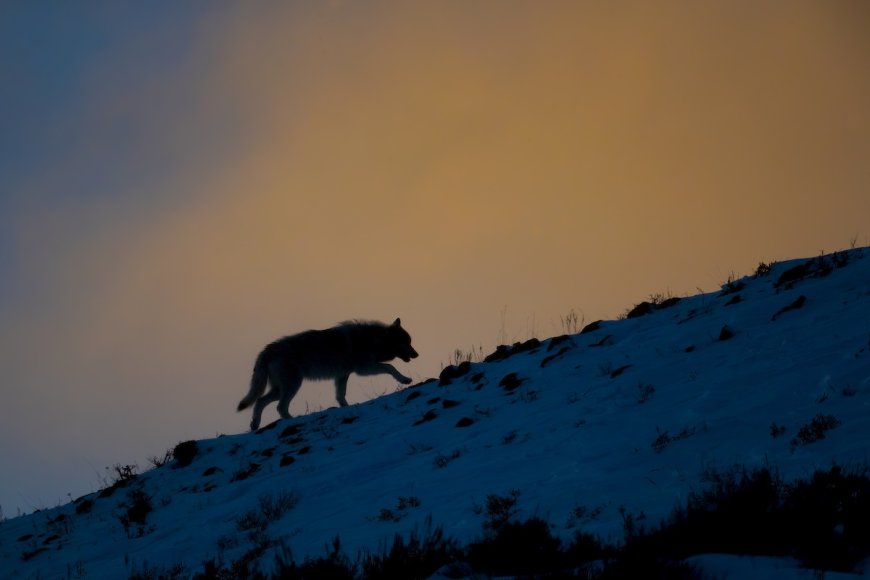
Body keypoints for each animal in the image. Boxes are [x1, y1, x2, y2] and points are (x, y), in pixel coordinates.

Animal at [237, 318, 418, 430]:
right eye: (407, 342)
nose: (417, 355)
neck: (373, 339)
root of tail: (267, 350)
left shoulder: (342, 375)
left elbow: (340, 395)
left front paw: (346, 408)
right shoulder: (364, 369)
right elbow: (390, 367)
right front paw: (405, 379)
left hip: (279, 389)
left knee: (260, 401)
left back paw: (255, 425)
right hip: (292, 386)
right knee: (280, 407)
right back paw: (294, 419)